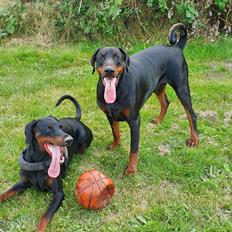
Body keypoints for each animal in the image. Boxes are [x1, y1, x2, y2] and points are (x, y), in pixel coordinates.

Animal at [0, 95, 92, 231]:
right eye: (48, 129)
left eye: (61, 127)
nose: (69, 139)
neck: (39, 160)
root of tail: (76, 119)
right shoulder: (22, 182)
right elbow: (5, 193)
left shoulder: (59, 194)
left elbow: (45, 216)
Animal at [90, 23, 198, 176]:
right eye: (101, 57)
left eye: (117, 57)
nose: (109, 70)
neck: (117, 90)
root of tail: (176, 47)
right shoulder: (109, 115)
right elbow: (115, 132)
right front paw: (116, 145)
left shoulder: (135, 121)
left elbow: (133, 148)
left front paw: (131, 169)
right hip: (158, 85)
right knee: (165, 102)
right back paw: (159, 120)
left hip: (182, 87)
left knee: (191, 114)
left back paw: (194, 140)